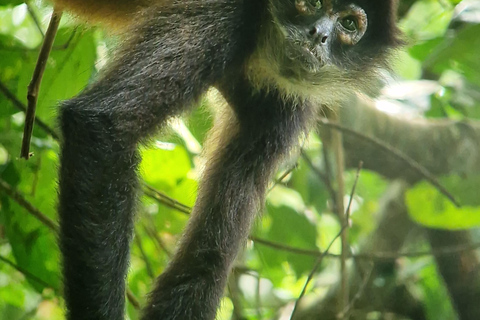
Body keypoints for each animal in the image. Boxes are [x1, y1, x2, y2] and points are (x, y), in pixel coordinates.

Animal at [55, 0, 402, 318]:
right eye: (312, 3)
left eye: (348, 23)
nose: (319, 35)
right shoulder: (222, 13)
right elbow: (103, 126)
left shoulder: (282, 106)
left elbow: (207, 260)